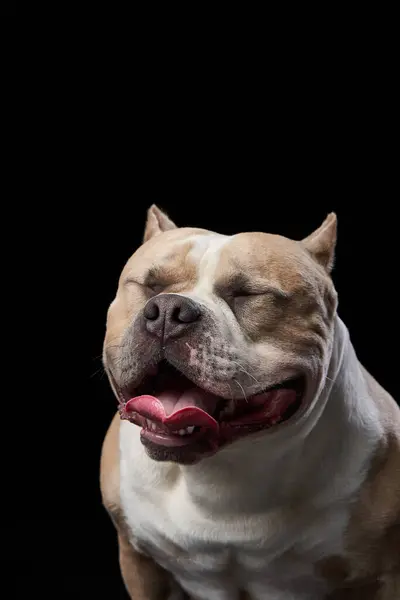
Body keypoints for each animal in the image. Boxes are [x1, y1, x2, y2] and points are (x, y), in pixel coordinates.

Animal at [100, 204, 400, 596]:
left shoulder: (384, 575)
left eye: (247, 294)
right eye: (151, 286)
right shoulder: (139, 561)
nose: (168, 310)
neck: (222, 469)